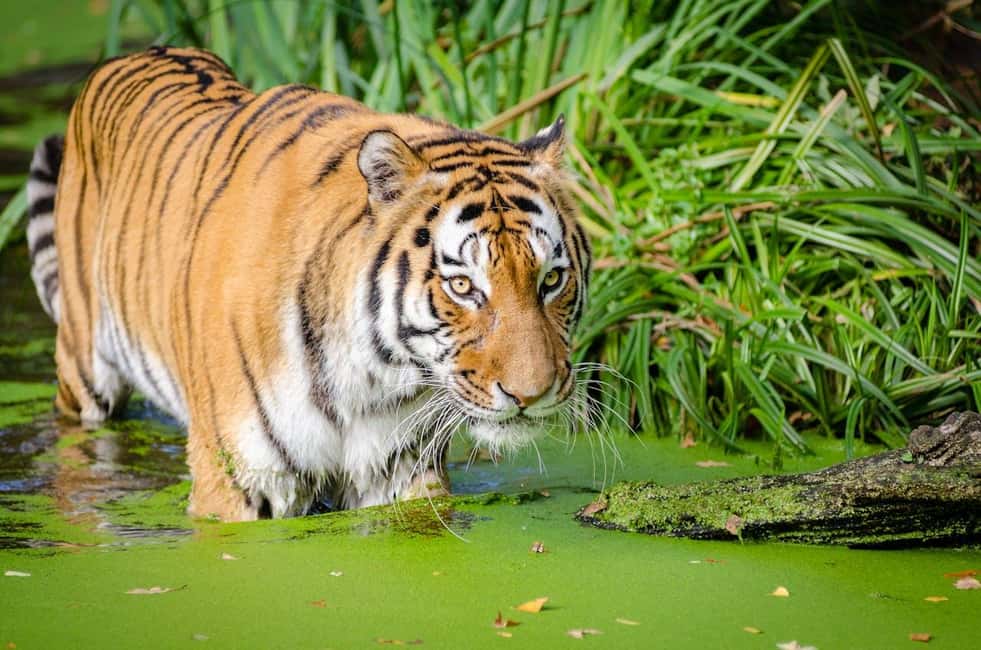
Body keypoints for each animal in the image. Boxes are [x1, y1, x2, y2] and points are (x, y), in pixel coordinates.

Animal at [24, 45, 591, 521]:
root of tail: (134, 54)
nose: (531, 395)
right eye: (463, 287)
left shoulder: (398, 471)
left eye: (551, 279)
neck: (374, 378)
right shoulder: (236, 480)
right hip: (84, 373)